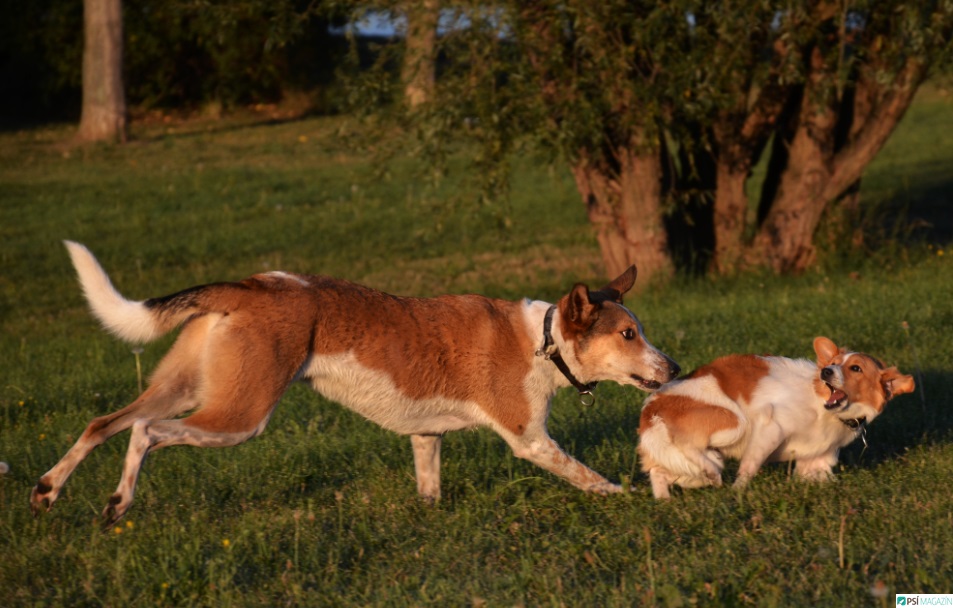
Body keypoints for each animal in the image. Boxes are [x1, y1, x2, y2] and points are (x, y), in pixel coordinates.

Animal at [31, 241, 684, 524]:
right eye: (629, 334)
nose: (675, 369)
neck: (542, 341)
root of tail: (250, 285)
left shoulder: (427, 438)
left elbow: (428, 491)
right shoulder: (529, 440)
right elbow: (591, 478)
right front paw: (635, 498)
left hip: (189, 385)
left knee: (102, 422)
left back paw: (48, 489)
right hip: (240, 415)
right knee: (144, 431)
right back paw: (118, 502)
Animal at [636, 338, 912, 498]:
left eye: (856, 368)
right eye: (833, 363)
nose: (826, 371)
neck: (822, 406)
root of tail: (650, 409)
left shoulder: (817, 463)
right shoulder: (771, 427)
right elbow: (749, 467)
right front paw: (738, 492)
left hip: (686, 469)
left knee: (660, 473)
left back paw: (664, 499)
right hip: (735, 424)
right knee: (694, 451)